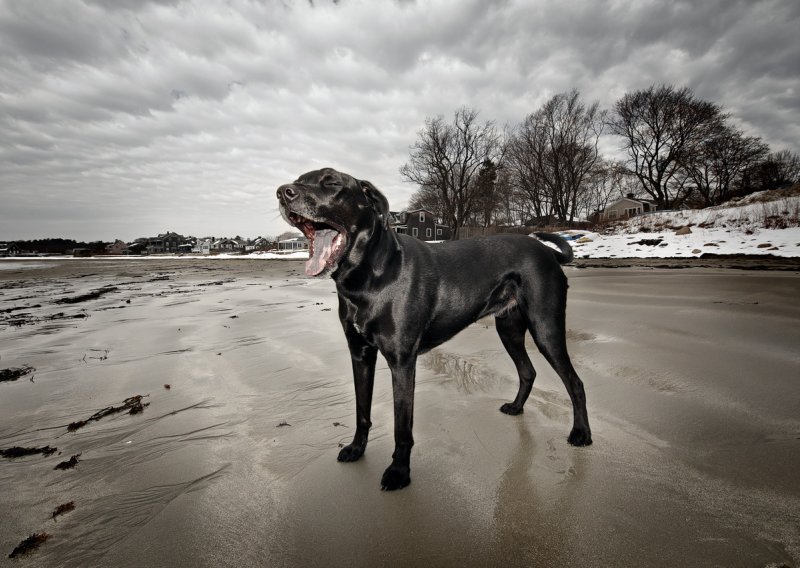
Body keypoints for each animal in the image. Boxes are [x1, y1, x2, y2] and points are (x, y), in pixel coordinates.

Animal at [278, 168, 592, 488]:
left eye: (331, 182)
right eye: (300, 179)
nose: (283, 192)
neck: (369, 276)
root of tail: (548, 253)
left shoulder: (402, 361)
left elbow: (402, 427)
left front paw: (399, 472)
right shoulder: (360, 355)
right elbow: (361, 411)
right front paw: (356, 448)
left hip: (545, 328)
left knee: (575, 383)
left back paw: (581, 434)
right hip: (509, 330)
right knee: (528, 372)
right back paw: (516, 408)